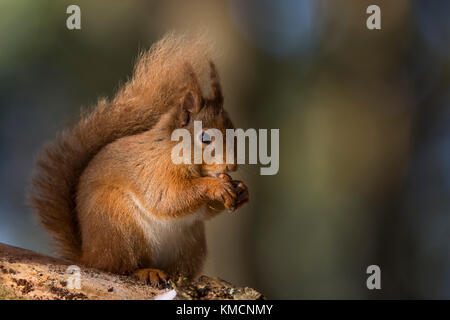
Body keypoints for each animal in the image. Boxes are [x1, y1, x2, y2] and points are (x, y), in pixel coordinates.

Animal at [29, 33, 248, 286]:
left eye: (234, 130)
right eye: (204, 138)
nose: (232, 166)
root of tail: (89, 255)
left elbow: (202, 211)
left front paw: (242, 190)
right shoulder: (153, 169)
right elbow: (168, 198)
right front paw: (215, 186)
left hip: (191, 243)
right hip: (119, 224)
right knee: (120, 267)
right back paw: (146, 271)